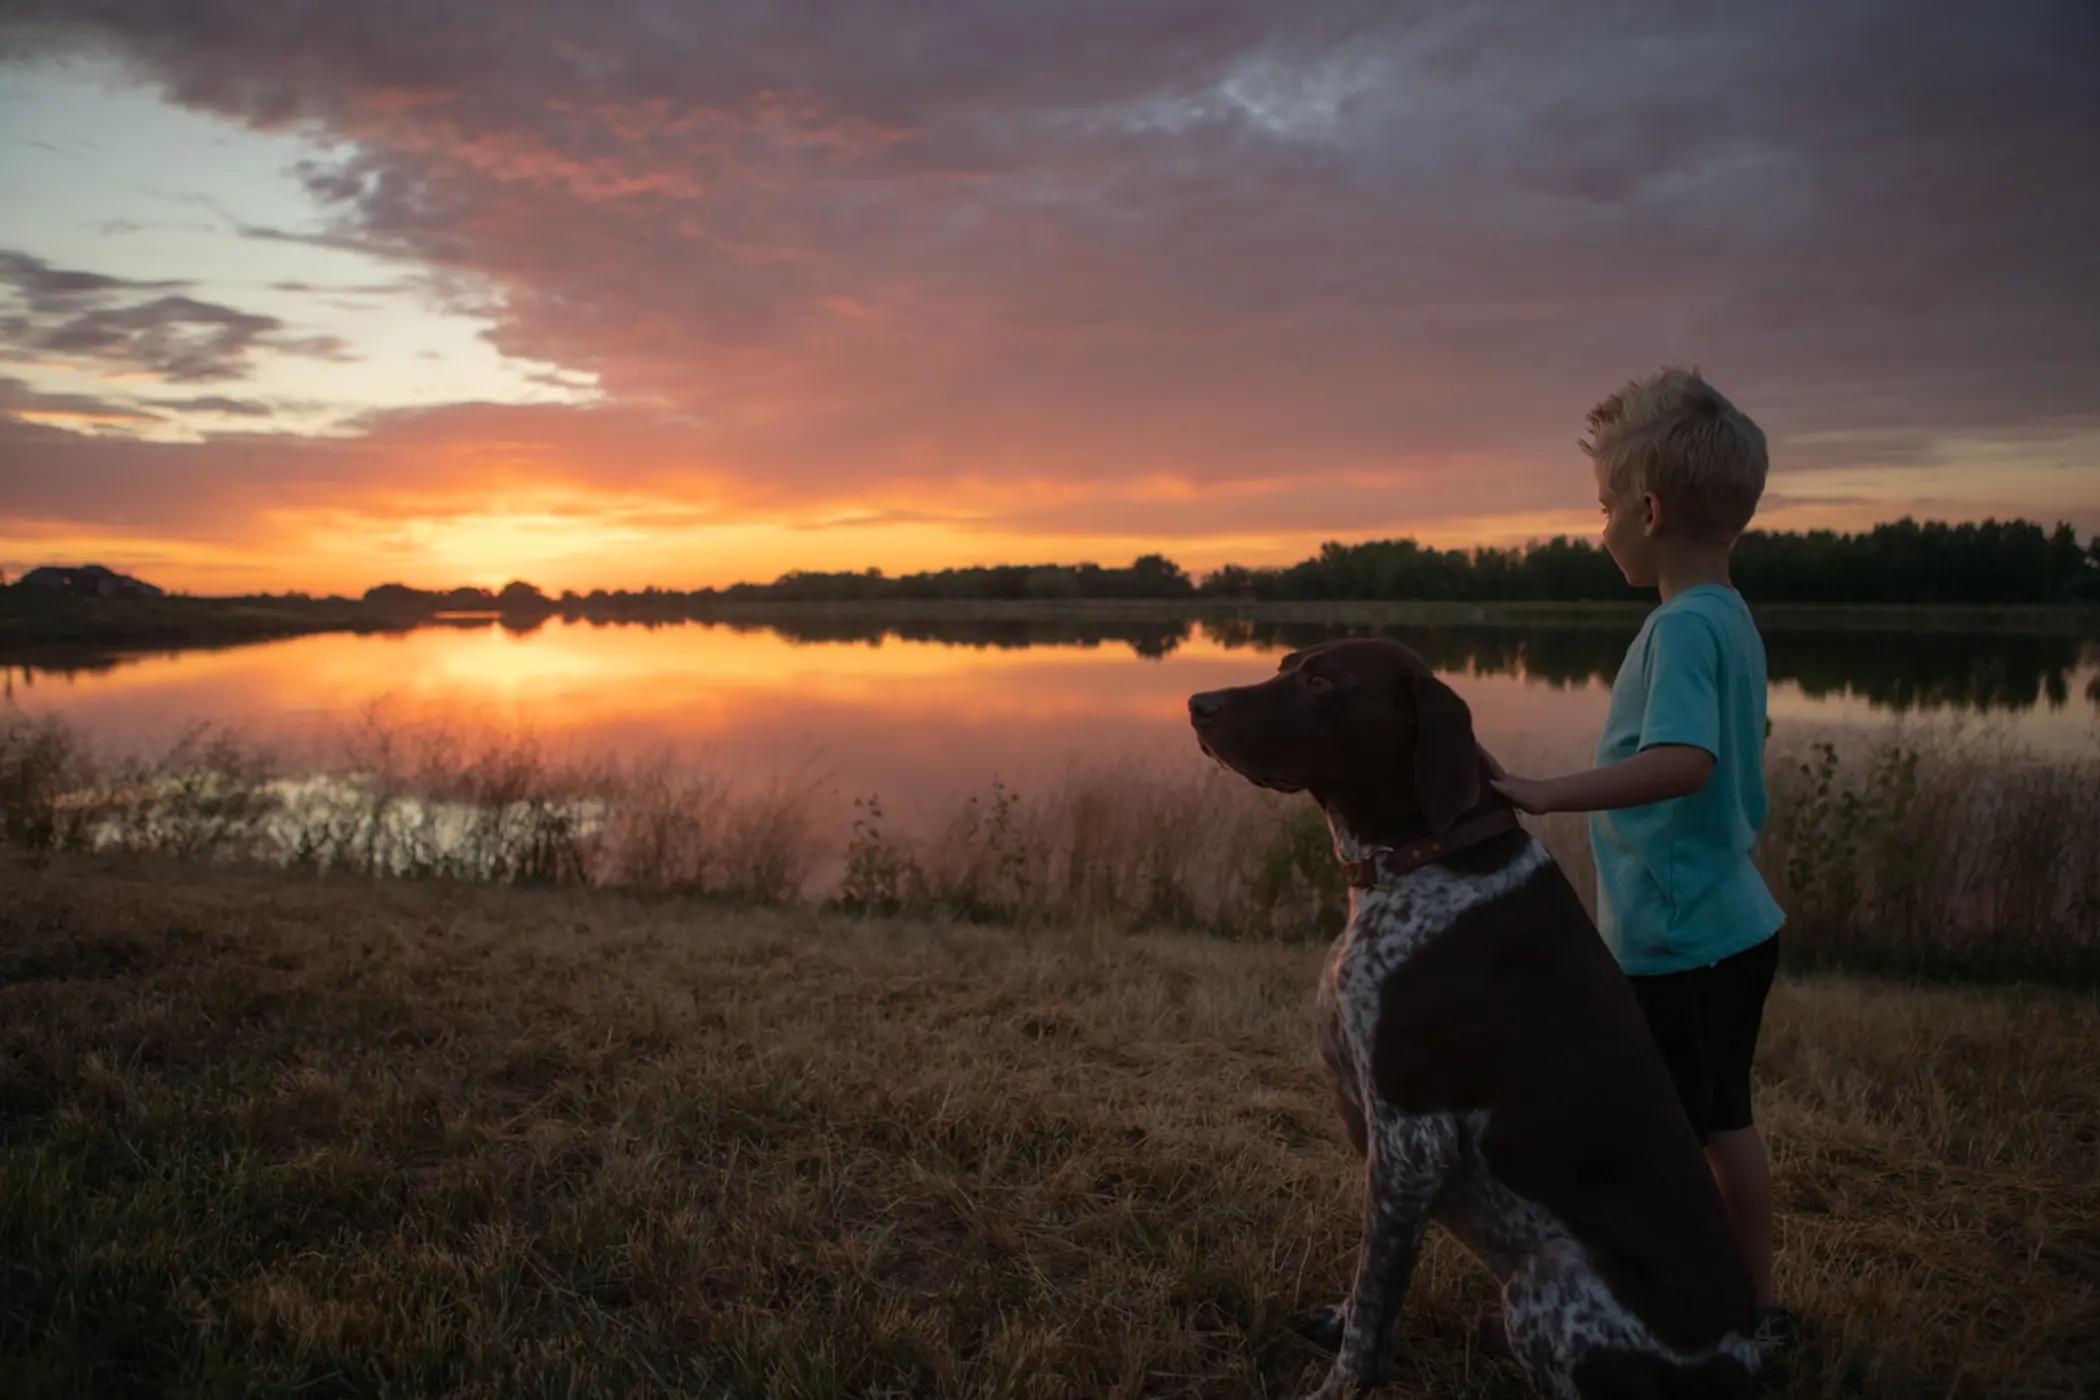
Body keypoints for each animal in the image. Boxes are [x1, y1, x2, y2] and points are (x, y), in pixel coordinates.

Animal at [1192, 642, 1763, 1393]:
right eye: (1287, 664)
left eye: (1320, 681)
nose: (1198, 705)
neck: (1418, 861)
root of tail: (1746, 1358)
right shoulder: (1389, 1146)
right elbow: (1372, 1279)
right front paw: (1338, 1326)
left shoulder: (1413, 1137)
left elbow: (1376, 1294)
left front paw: (1341, 1385)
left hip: (1548, 1275)